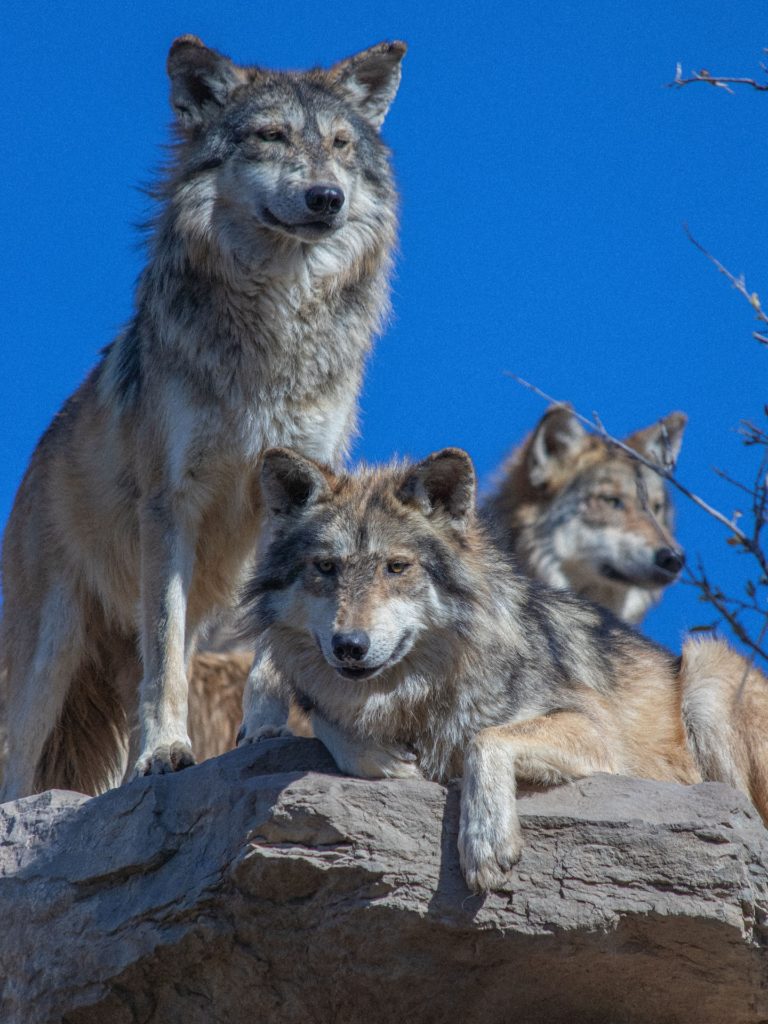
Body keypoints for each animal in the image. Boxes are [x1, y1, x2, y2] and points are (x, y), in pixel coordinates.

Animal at [0, 35, 404, 799]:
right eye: (271, 136)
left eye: (340, 145)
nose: (327, 198)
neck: (276, 332)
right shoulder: (172, 503)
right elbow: (166, 664)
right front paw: (168, 752)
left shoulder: (297, 497)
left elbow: (270, 647)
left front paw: (267, 731)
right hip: (54, 650)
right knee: (21, 764)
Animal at [239, 446, 768, 892]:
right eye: (326, 567)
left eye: (396, 567)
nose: (349, 646)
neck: (415, 700)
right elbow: (331, 724)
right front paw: (386, 760)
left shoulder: (596, 732)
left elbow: (486, 738)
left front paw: (485, 840)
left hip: (707, 670)